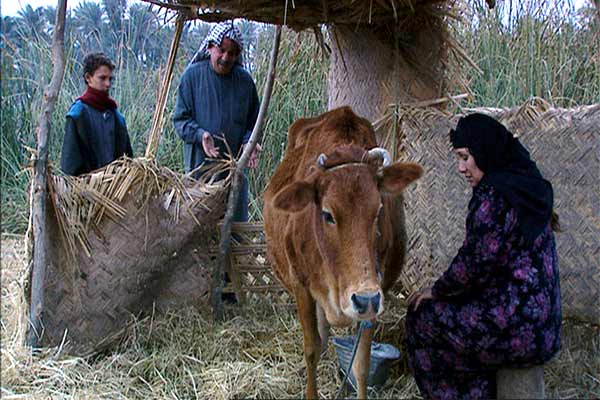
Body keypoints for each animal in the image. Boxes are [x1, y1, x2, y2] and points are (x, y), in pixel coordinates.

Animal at [262, 105, 422, 396]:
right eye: (327, 214)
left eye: (379, 210)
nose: (364, 298)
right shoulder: (301, 285)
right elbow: (311, 349)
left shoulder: (375, 295)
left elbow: (361, 365)